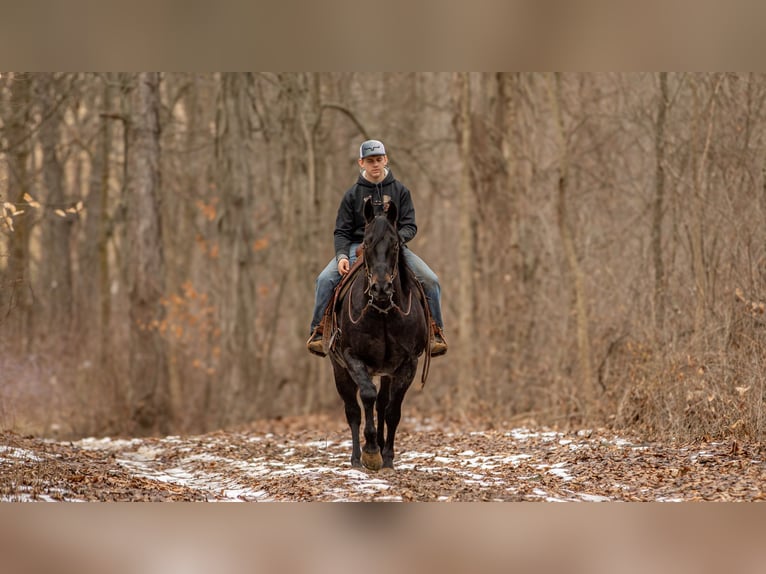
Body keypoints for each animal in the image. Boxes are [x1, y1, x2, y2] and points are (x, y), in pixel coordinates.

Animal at [330, 199, 432, 472]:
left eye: (395, 243)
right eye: (366, 243)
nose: (381, 288)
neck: (383, 310)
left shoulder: (407, 363)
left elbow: (392, 410)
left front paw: (386, 457)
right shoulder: (352, 358)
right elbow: (367, 396)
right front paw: (371, 452)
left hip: (386, 372)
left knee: (382, 404)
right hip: (339, 370)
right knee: (353, 410)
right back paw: (356, 458)